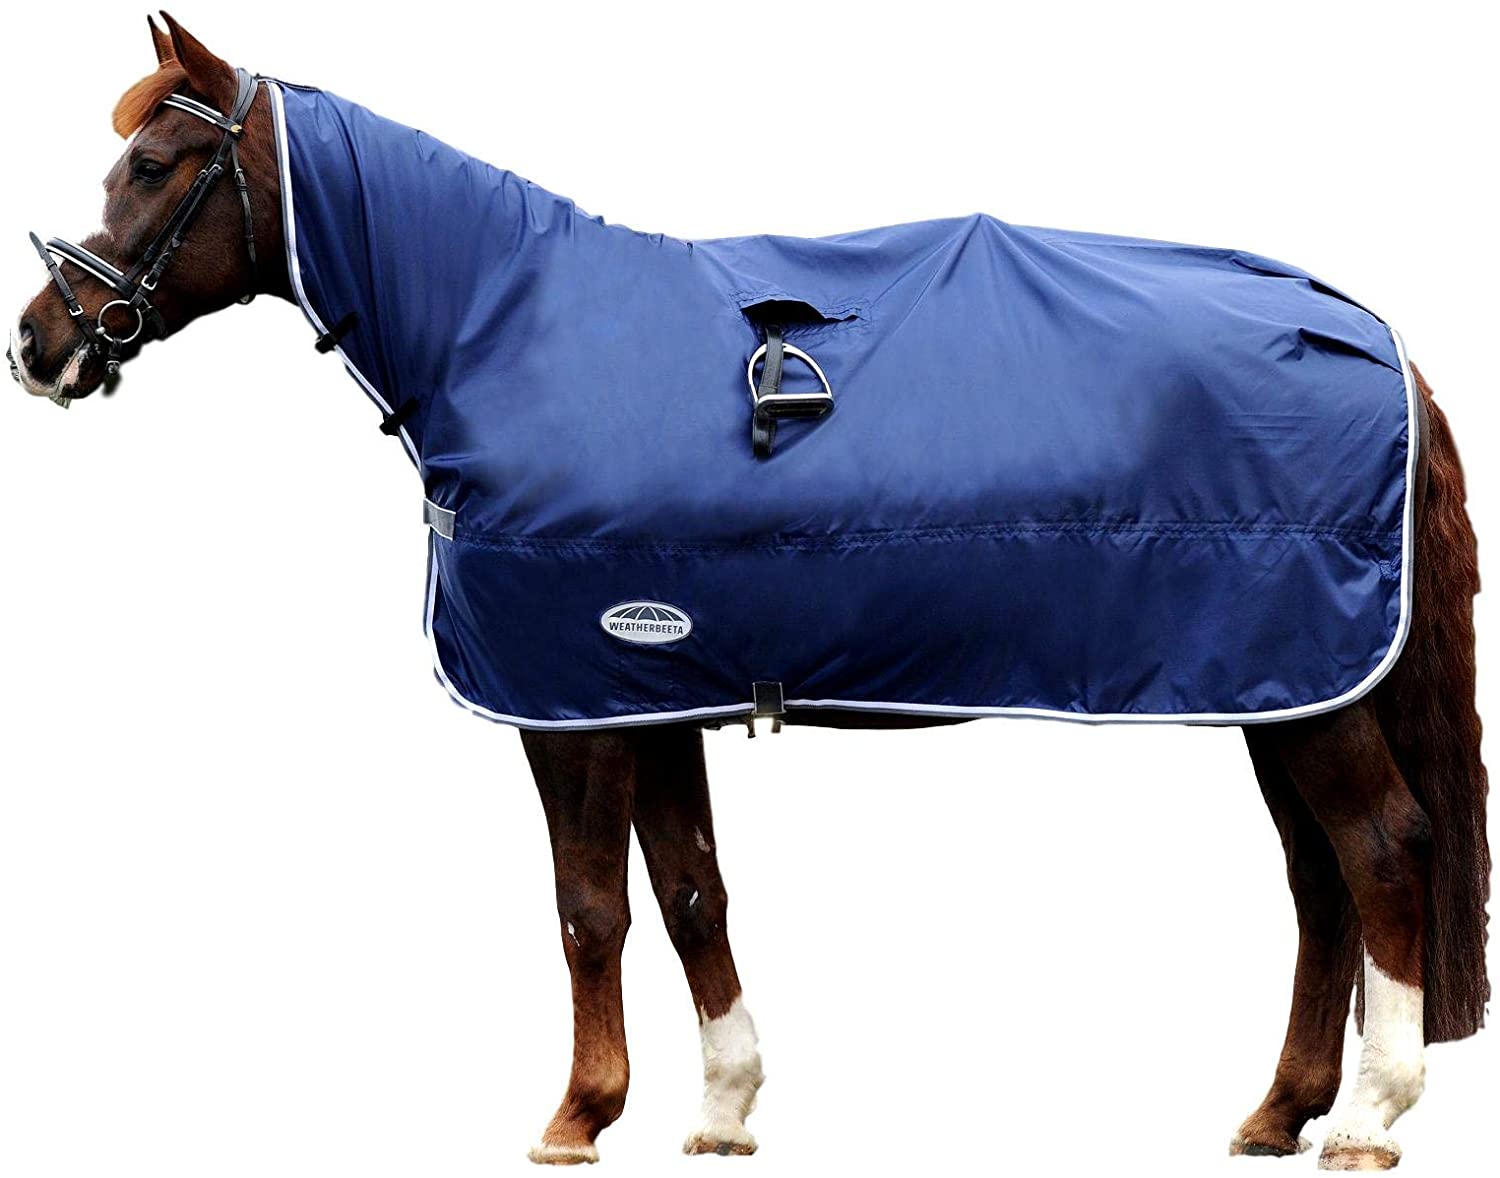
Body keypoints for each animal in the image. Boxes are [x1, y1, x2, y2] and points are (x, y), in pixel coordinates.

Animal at [9, 14, 1489, 1170]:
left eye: (155, 165)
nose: (39, 342)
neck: (505, 327)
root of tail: (1372, 335)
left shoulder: (573, 700)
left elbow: (590, 906)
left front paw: (577, 1113)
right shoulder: (654, 685)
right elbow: (689, 890)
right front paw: (722, 1105)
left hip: (1308, 691)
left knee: (1381, 848)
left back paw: (1371, 1113)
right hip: (1281, 687)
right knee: (1317, 877)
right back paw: (1280, 1109)